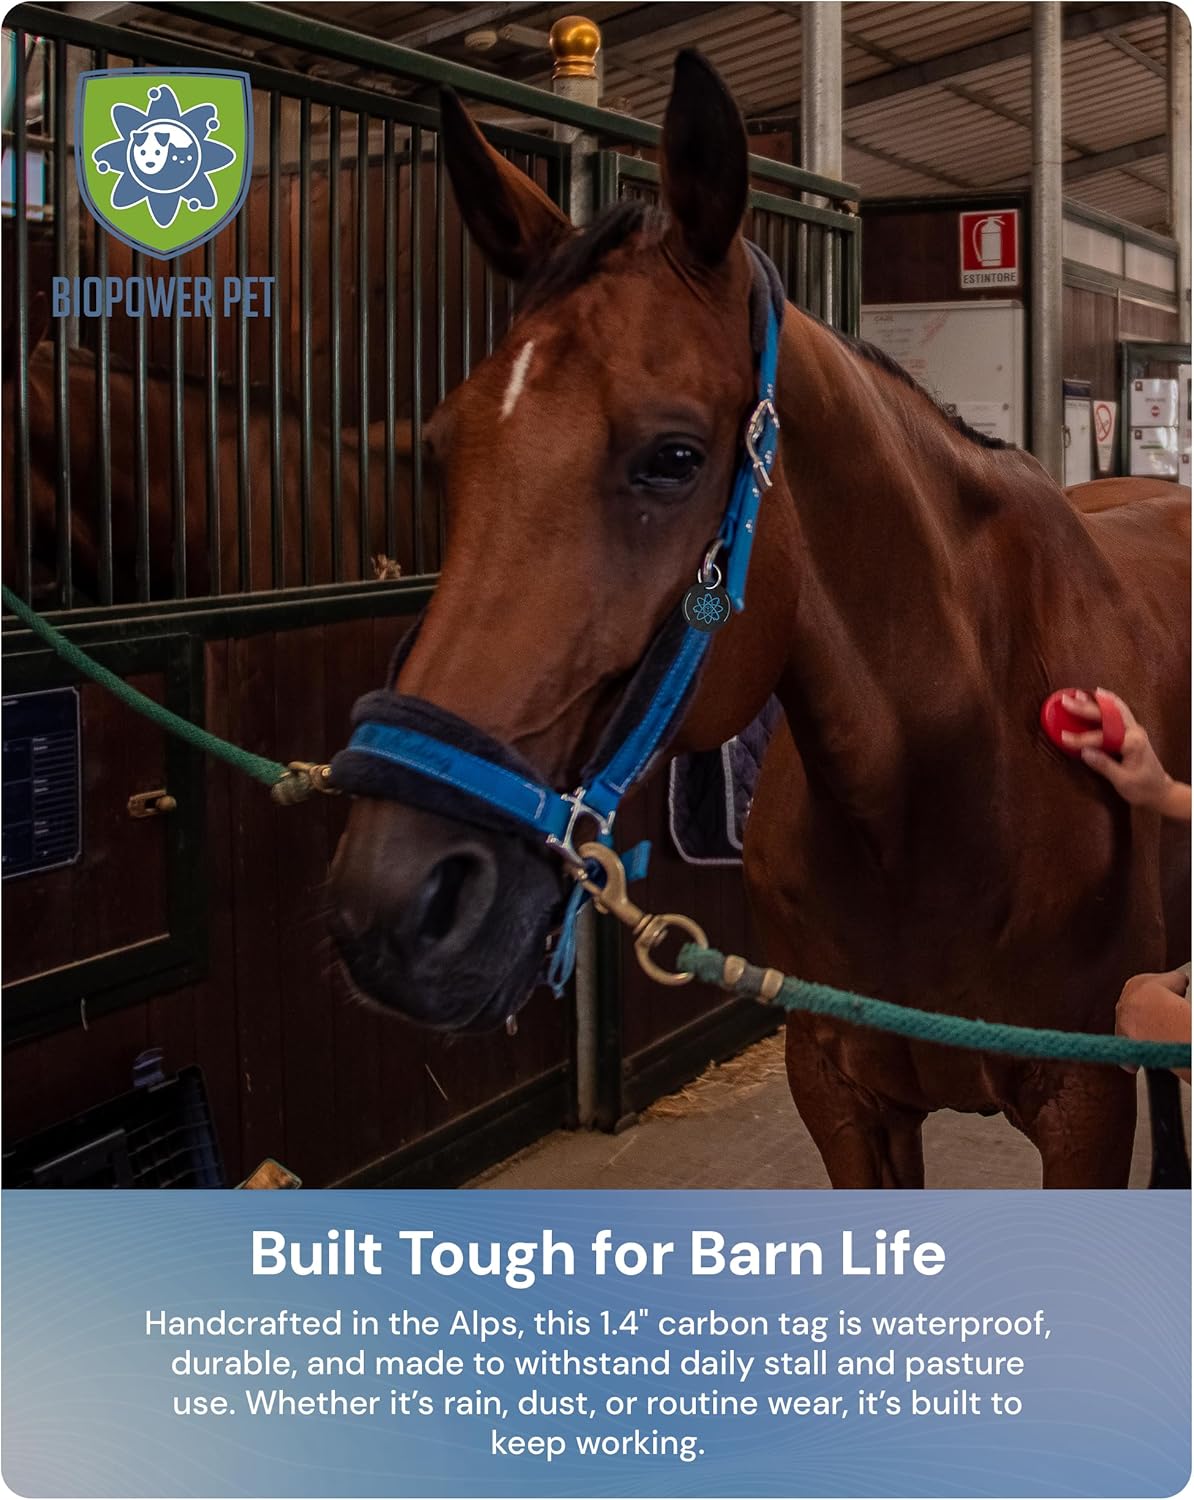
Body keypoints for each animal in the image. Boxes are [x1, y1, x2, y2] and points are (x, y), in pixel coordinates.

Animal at [326, 51, 1190, 1188]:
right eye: (438, 450)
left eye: (673, 456)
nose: (394, 902)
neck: (946, 782)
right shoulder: (839, 1090)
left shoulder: (1082, 1105)